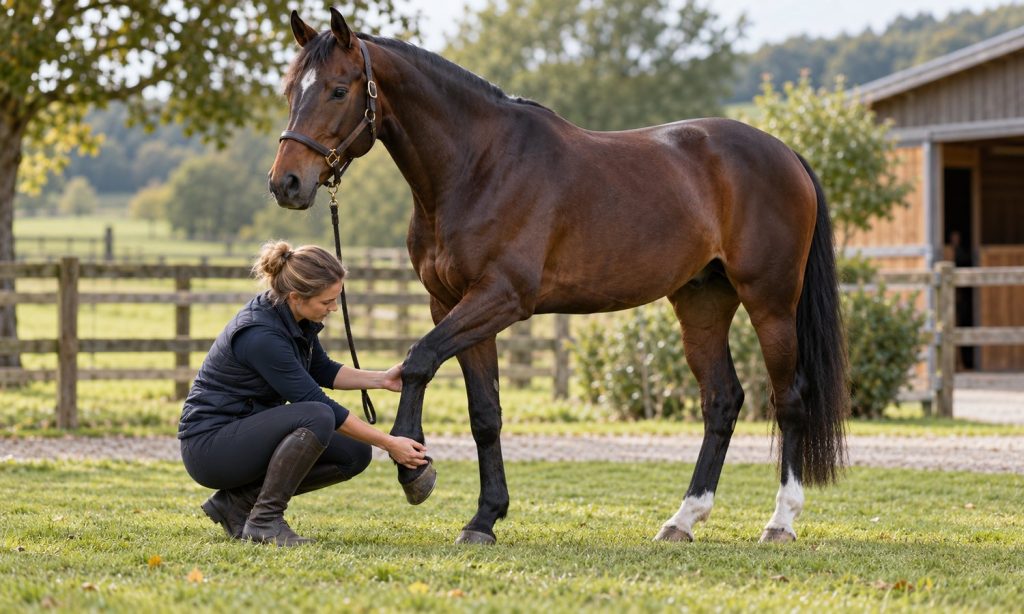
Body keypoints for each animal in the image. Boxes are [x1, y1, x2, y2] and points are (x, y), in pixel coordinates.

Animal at [268, 8, 848, 545]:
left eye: (338, 90)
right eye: (290, 90)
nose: (286, 183)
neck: (479, 166)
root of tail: (785, 153)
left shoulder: (501, 298)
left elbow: (418, 360)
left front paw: (414, 467)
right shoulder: (451, 303)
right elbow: (485, 413)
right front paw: (484, 518)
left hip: (771, 302)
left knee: (789, 399)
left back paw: (780, 523)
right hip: (701, 303)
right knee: (722, 401)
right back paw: (682, 520)